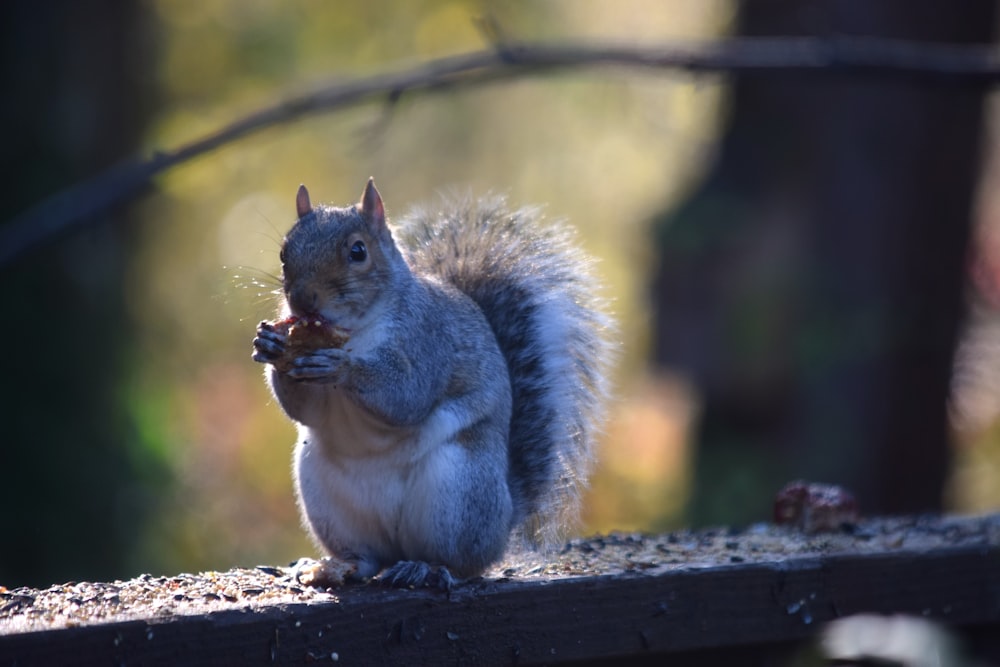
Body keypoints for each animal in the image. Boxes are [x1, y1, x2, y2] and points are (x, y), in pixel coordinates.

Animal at [254, 177, 612, 588]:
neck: (354, 330)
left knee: (460, 562)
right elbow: (305, 409)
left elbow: (407, 396)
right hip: (325, 496)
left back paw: (427, 567)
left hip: (458, 491)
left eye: (358, 251)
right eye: (284, 252)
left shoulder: (428, 340)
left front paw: (343, 367)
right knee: (369, 557)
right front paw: (270, 344)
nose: (301, 300)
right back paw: (337, 566)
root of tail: (504, 523)